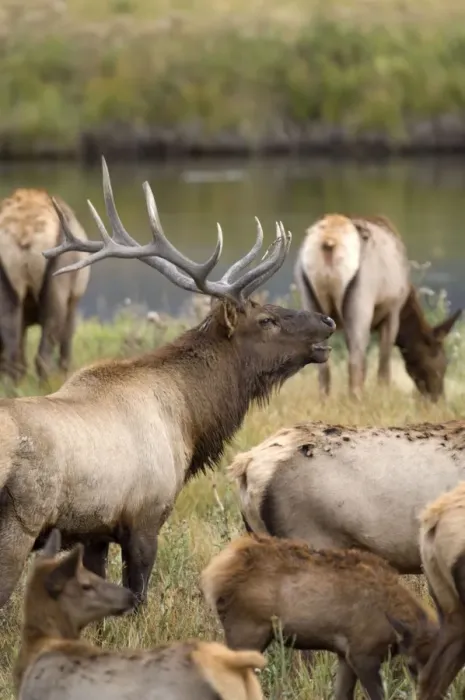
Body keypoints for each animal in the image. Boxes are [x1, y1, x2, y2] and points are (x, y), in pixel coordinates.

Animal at [0, 187, 90, 381]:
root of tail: (24, 234)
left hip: (8, 290)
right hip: (58, 287)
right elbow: (65, 355)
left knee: (13, 360)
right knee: (43, 358)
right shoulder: (73, 303)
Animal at [201, 533, 439, 700]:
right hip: (247, 629)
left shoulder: (345, 654)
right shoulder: (363, 652)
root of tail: (214, 574)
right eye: (411, 666)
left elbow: (342, 694)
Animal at [294, 213, 461, 399]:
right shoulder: (393, 311)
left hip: (309, 297)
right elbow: (384, 364)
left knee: (323, 366)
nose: (438, 397)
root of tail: (329, 242)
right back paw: (357, 399)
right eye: (443, 362)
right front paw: (384, 397)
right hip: (361, 301)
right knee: (356, 360)